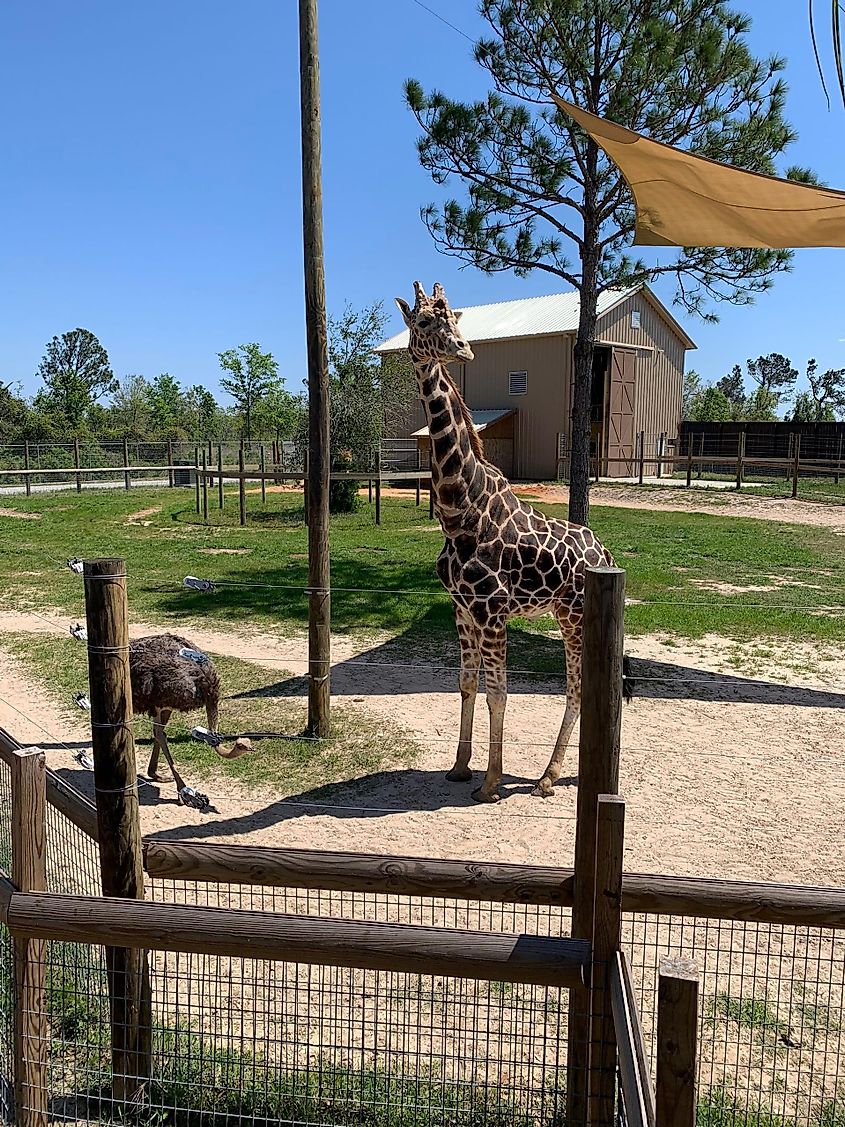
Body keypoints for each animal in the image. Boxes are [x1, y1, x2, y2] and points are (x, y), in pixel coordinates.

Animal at [394, 286, 630, 806]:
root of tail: (606, 555)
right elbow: (466, 684)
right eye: (423, 321)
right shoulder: (461, 609)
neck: (460, 510)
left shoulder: (492, 611)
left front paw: (490, 781)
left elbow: (498, 692)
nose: (462, 349)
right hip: (568, 615)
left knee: (577, 686)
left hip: (574, 615)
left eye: (454, 318)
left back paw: (547, 777)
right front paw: (459, 767)